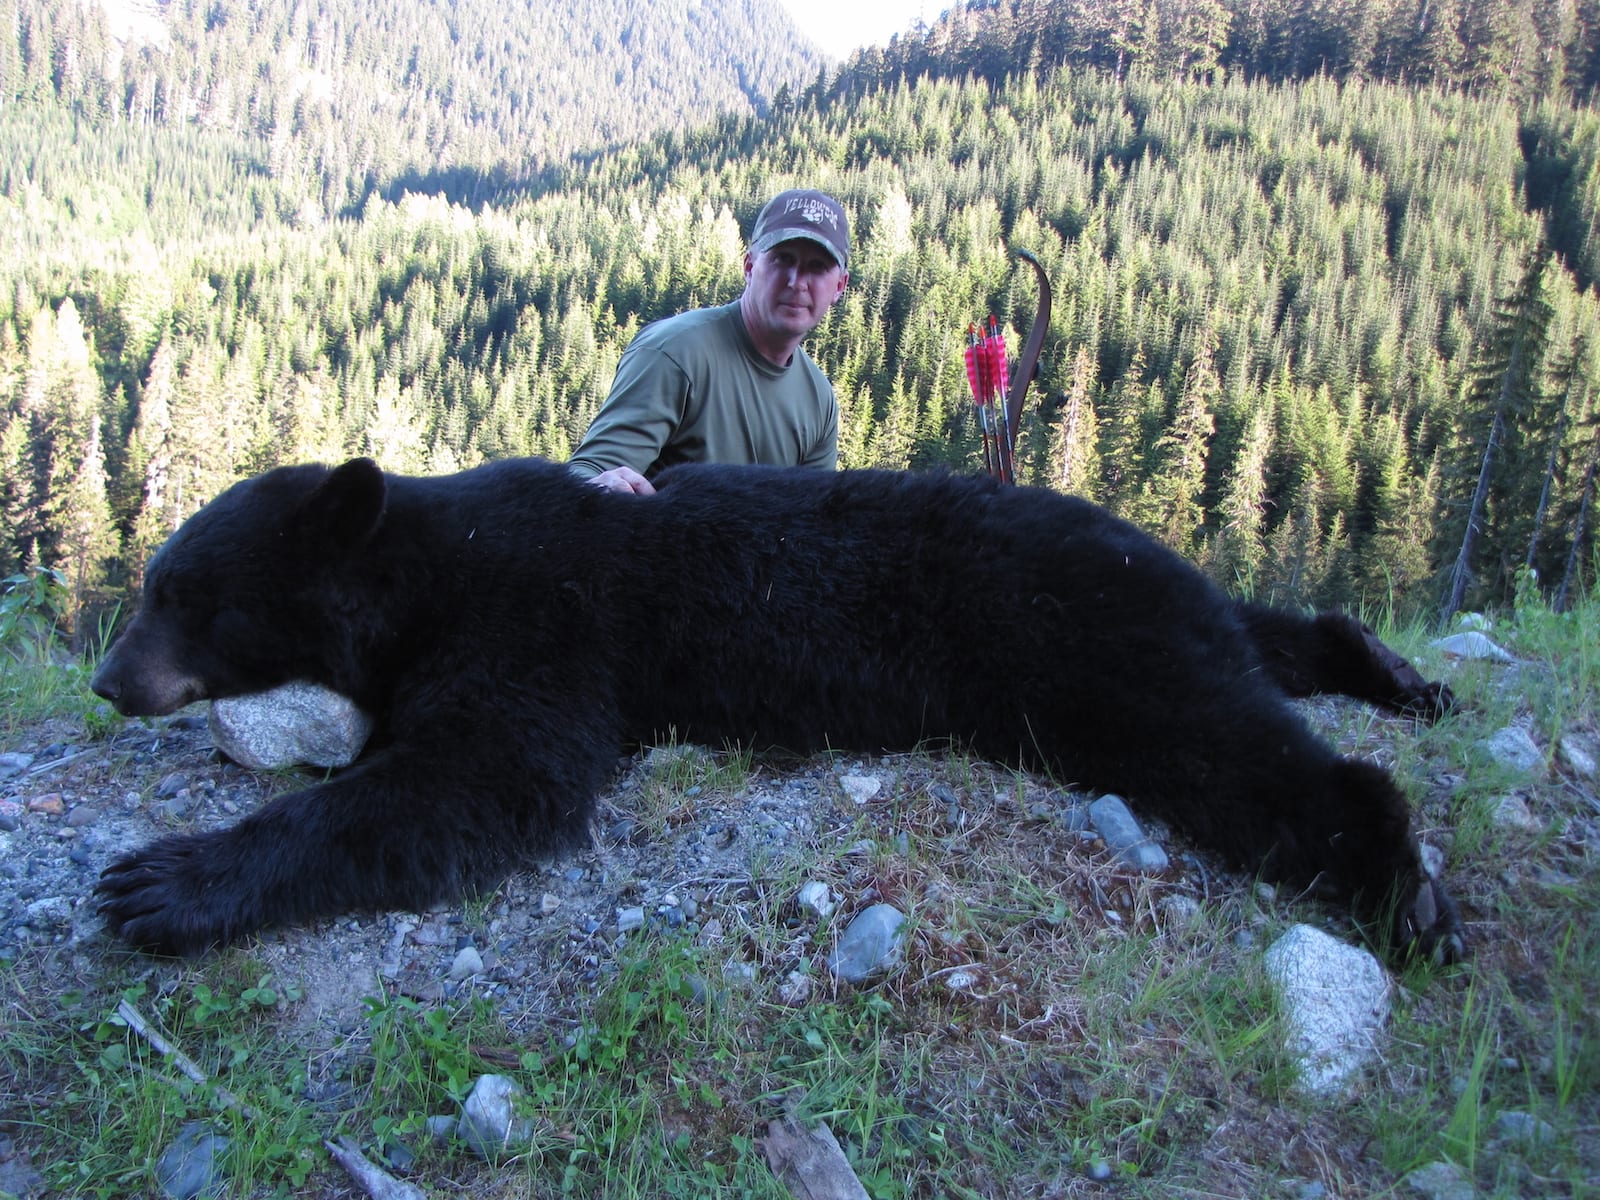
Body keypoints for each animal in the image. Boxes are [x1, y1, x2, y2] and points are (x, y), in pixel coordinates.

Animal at [90, 454, 1465, 966]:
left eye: (174, 591)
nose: (109, 681)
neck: (425, 564)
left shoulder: (539, 624)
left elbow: (483, 774)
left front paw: (163, 881)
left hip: (1088, 643)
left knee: (1231, 745)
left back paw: (1406, 892)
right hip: (1159, 611)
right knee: (1265, 641)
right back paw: (1401, 676)